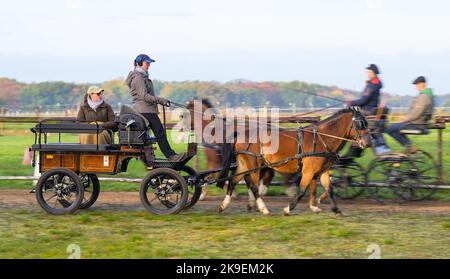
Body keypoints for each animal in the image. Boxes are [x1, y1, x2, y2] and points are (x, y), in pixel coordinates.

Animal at [218, 107, 372, 217]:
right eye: (359, 123)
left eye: (366, 122)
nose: (368, 142)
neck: (322, 138)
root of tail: (240, 134)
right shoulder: (308, 171)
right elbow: (302, 190)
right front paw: (288, 209)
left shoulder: (322, 171)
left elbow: (327, 189)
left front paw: (332, 209)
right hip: (254, 165)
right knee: (253, 186)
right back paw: (264, 209)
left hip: (245, 164)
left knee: (233, 181)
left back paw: (223, 205)